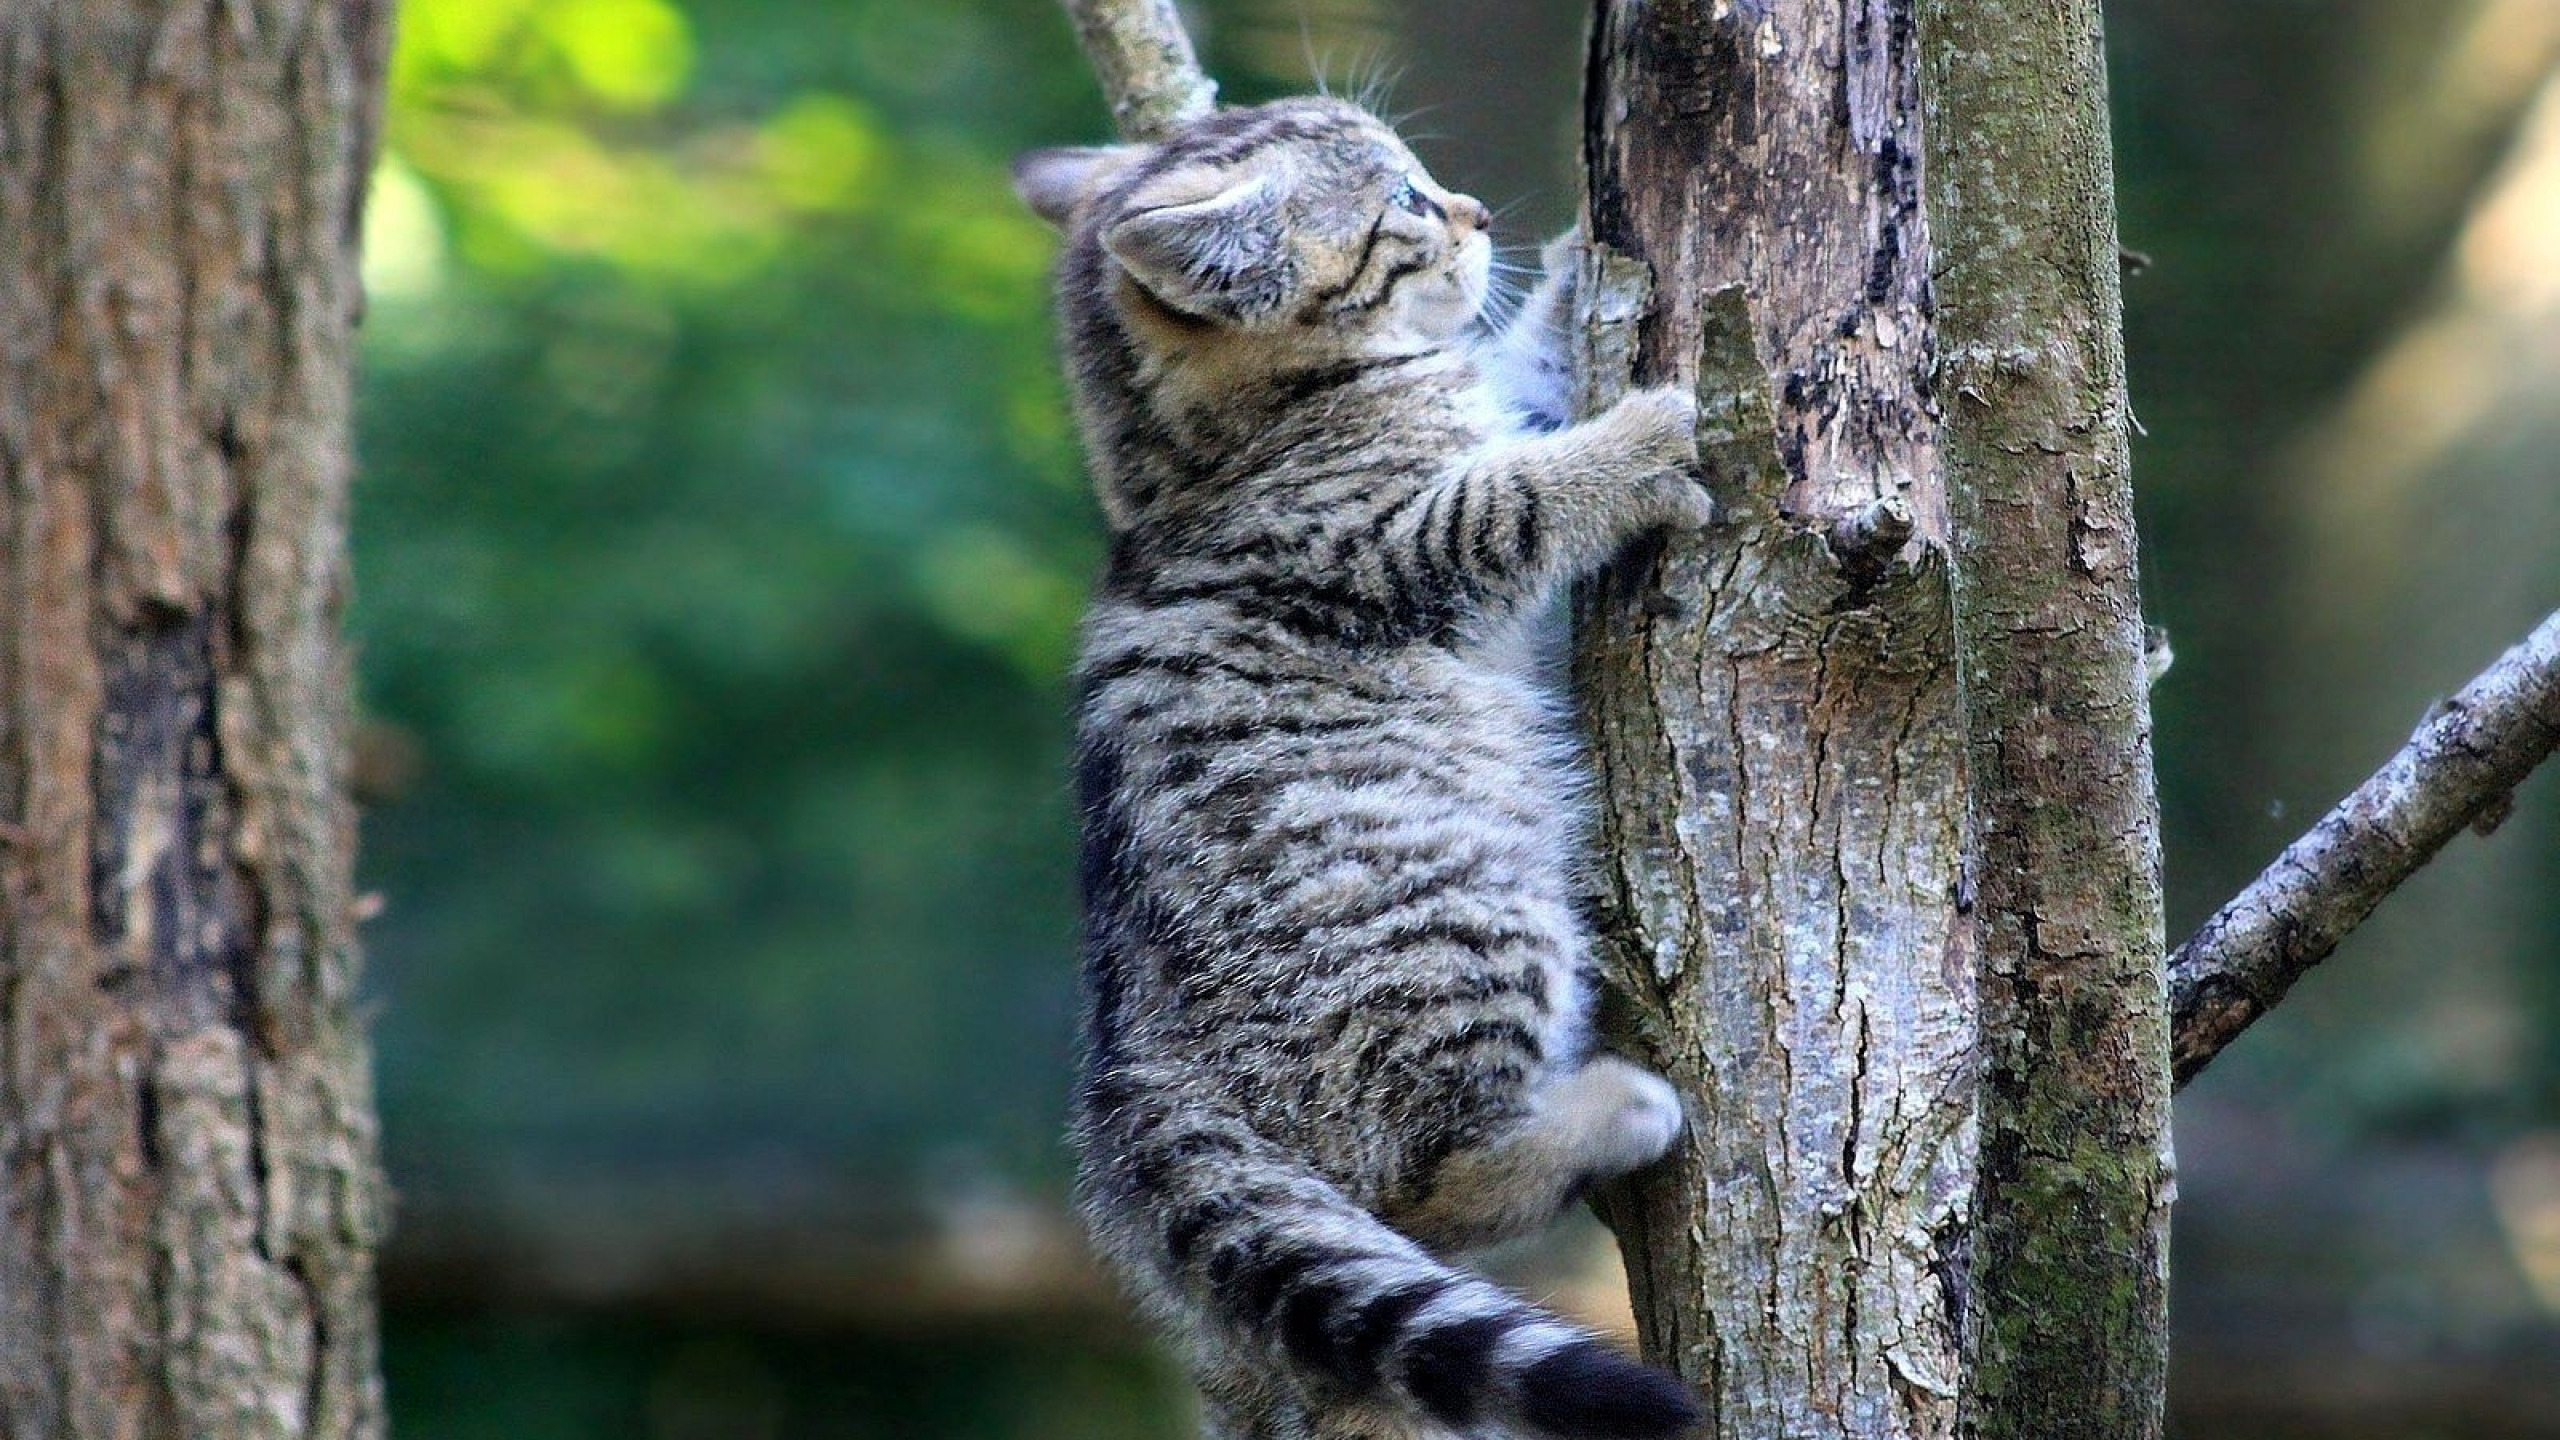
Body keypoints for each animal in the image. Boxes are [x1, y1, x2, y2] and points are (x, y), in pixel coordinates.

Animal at [1008, 101, 1710, 1434]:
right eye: (1403, 201)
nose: (1476, 213)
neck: (1193, 460)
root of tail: (1136, 1076)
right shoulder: (1387, 541)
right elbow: (1518, 499)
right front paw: (1636, 444)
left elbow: (1521, 386)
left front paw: (1571, 267)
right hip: (1458, 922)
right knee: (1427, 1187)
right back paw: (1607, 1115)